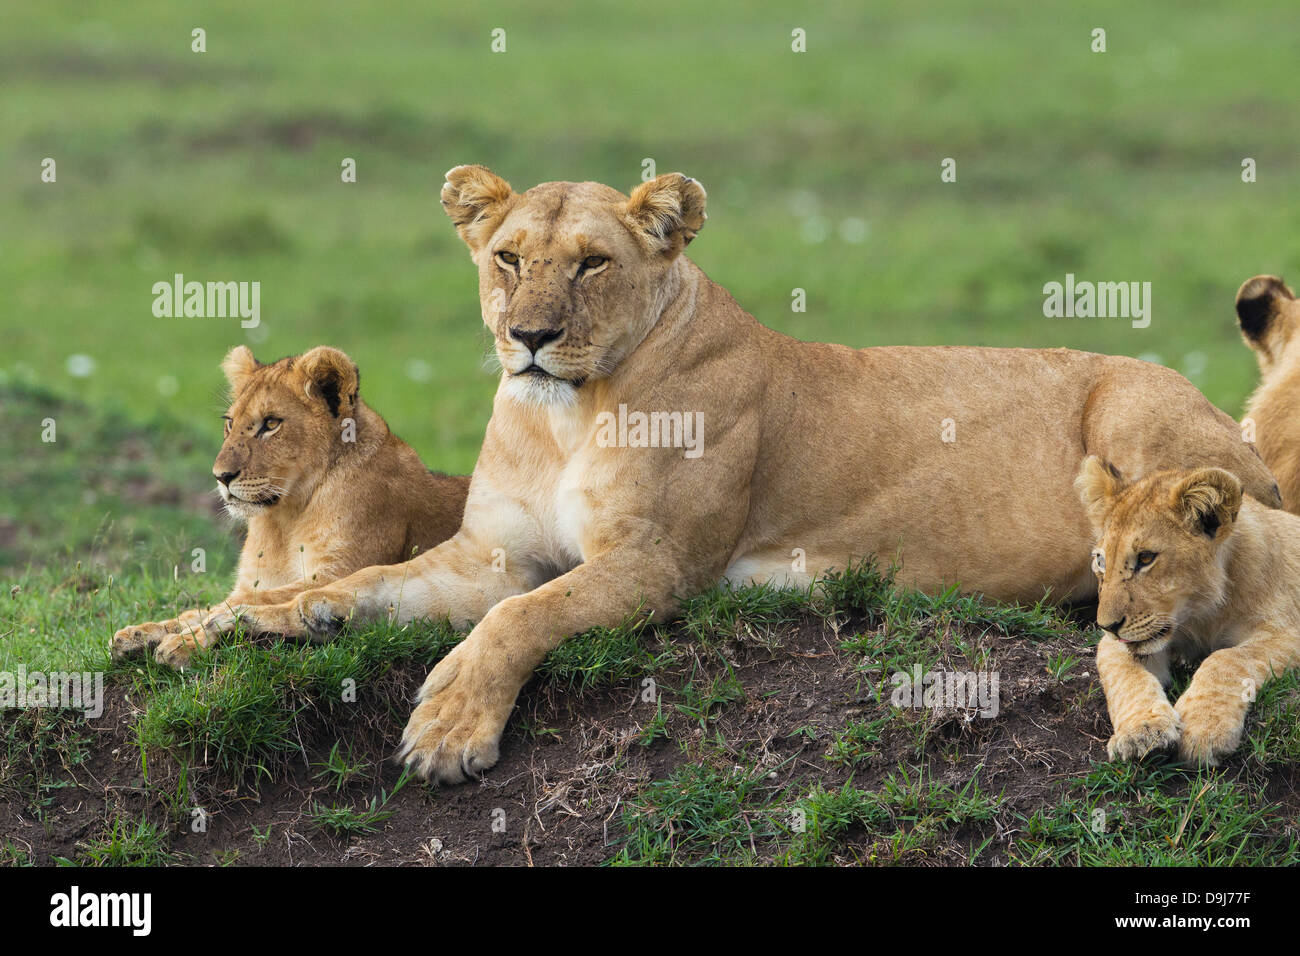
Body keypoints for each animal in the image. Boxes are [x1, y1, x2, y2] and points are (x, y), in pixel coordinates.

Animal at [112, 345, 469, 668]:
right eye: (229, 423)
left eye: (271, 424)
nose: (221, 476)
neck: (285, 516)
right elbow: (211, 606)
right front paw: (141, 633)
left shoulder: (341, 571)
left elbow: (248, 602)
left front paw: (184, 642)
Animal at [1076, 456, 1300, 764]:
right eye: (1101, 561)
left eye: (1146, 558)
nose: (1108, 626)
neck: (1202, 614)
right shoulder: (1119, 644)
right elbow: (1124, 672)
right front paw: (1141, 731)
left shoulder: (1287, 630)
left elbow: (1226, 659)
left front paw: (1203, 727)